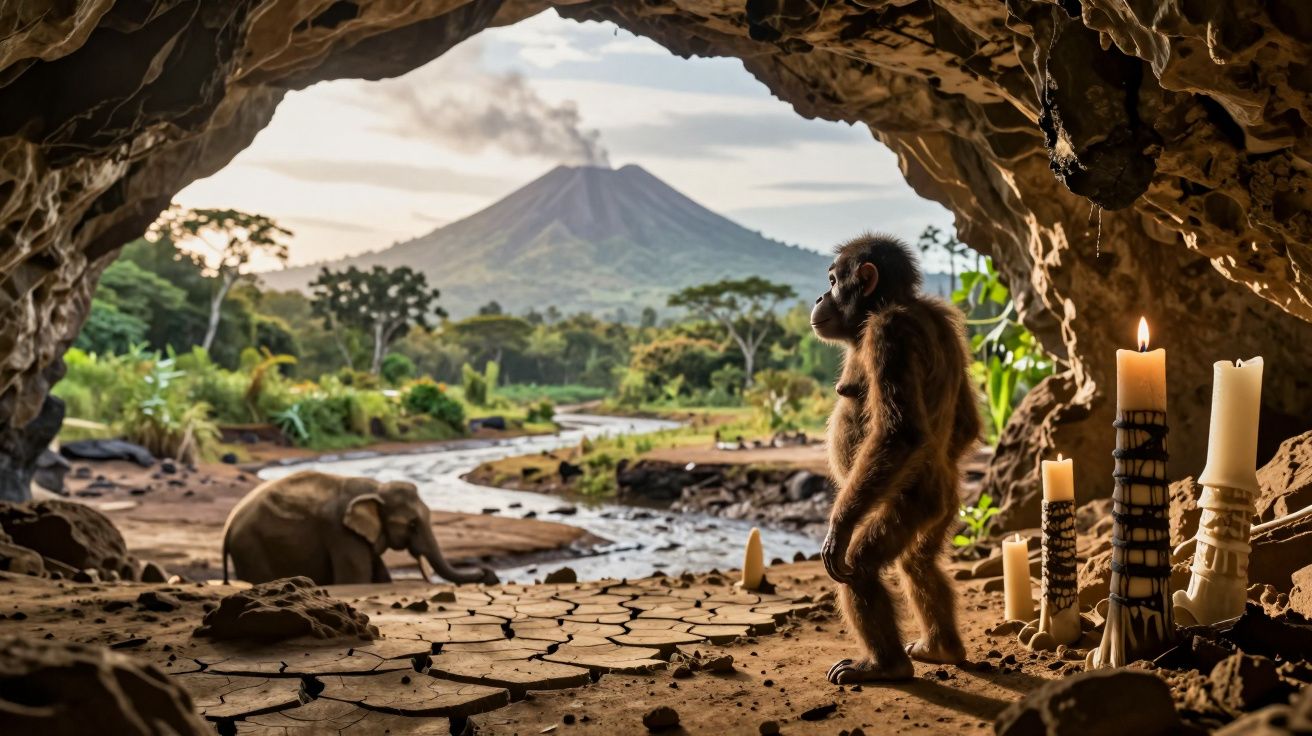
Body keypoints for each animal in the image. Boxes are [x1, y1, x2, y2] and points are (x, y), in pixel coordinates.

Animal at [221, 470, 497, 586]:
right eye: (412, 524)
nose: (488, 574)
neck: (377, 488)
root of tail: (229, 523)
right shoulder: (340, 533)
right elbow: (355, 578)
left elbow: (380, 575)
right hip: (250, 547)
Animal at [810, 233, 982, 684]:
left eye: (833, 281)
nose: (820, 295)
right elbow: (966, 422)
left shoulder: (888, 333)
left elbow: (899, 434)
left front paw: (838, 528)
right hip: (941, 509)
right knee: (917, 561)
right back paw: (941, 648)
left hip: (911, 503)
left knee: (861, 564)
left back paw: (886, 665)